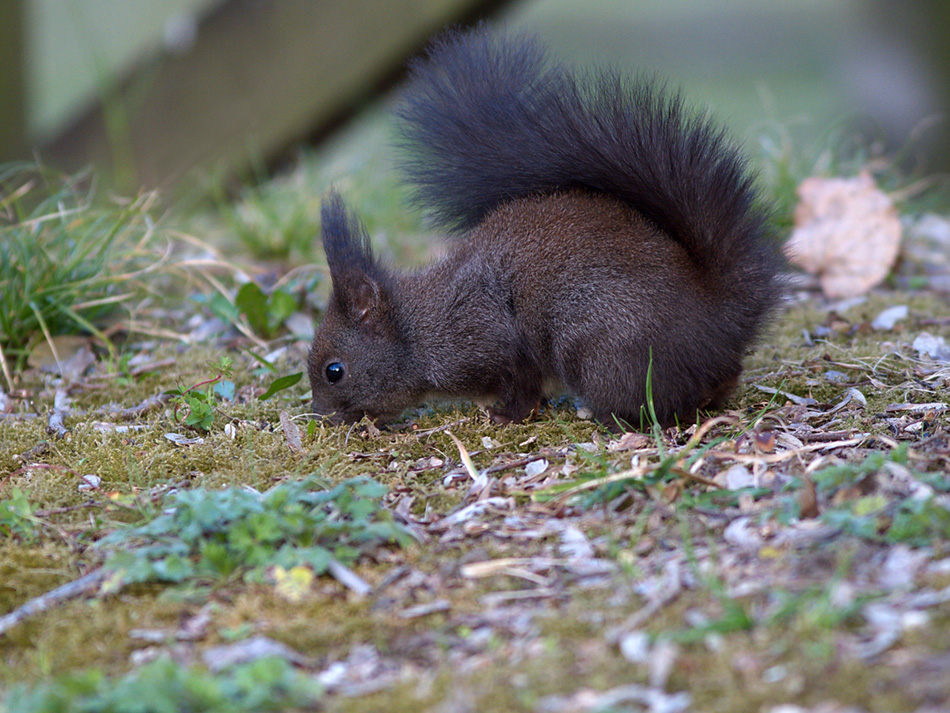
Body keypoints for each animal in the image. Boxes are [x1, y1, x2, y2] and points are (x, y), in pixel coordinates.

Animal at [308, 27, 784, 428]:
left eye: (335, 371)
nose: (321, 419)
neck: (416, 330)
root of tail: (718, 319)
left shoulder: (489, 340)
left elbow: (522, 384)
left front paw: (505, 415)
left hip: (598, 346)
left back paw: (609, 415)